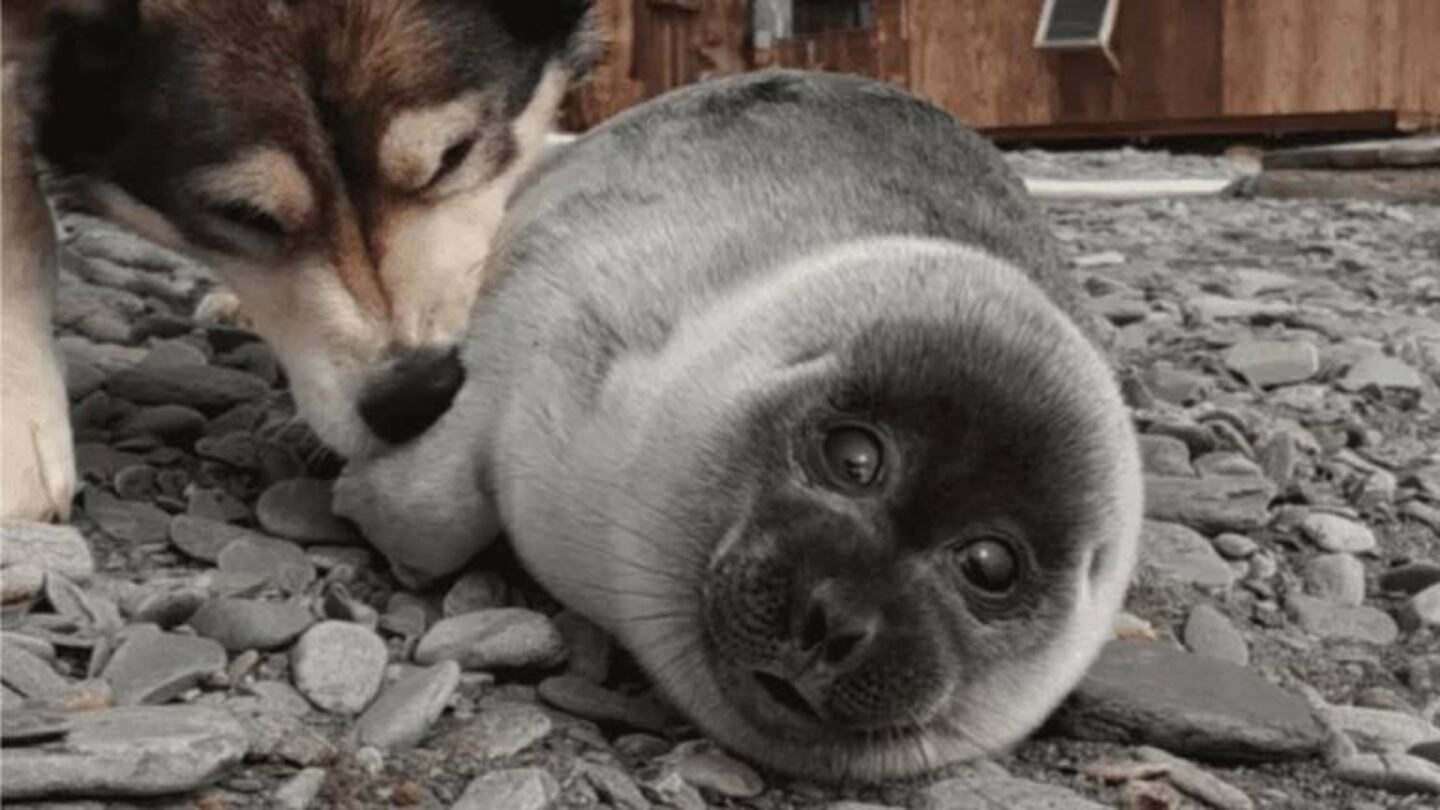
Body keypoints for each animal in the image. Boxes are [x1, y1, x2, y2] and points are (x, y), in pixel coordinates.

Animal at [334, 72, 1134, 778]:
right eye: (854, 457)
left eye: (991, 565)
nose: (837, 619)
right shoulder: (536, 317)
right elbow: (429, 514)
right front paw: (357, 497)